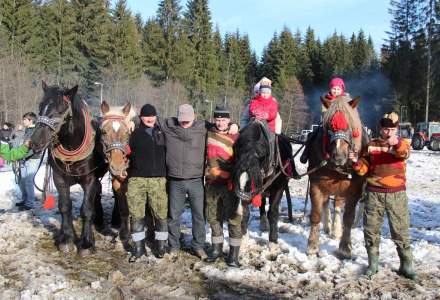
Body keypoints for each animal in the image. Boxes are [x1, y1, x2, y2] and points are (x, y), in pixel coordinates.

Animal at [31, 81, 107, 255]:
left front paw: (86, 243)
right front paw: (66, 238)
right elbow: (65, 206)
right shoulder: (59, 178)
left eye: (61, 109)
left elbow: (86, 209)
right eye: (40, 106)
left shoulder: (89, 179)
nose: (36, 141)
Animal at [306, 95, 368, 258]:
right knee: (326, 203)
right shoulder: (316, 184)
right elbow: (316, 214)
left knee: (338, 206)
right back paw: (328, 226)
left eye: (350, 127)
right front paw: (312, 245)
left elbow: (348, 217)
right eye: (329, 127)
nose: (338, 157)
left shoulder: (353, 190)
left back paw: (336, 229)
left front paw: (345, 247)